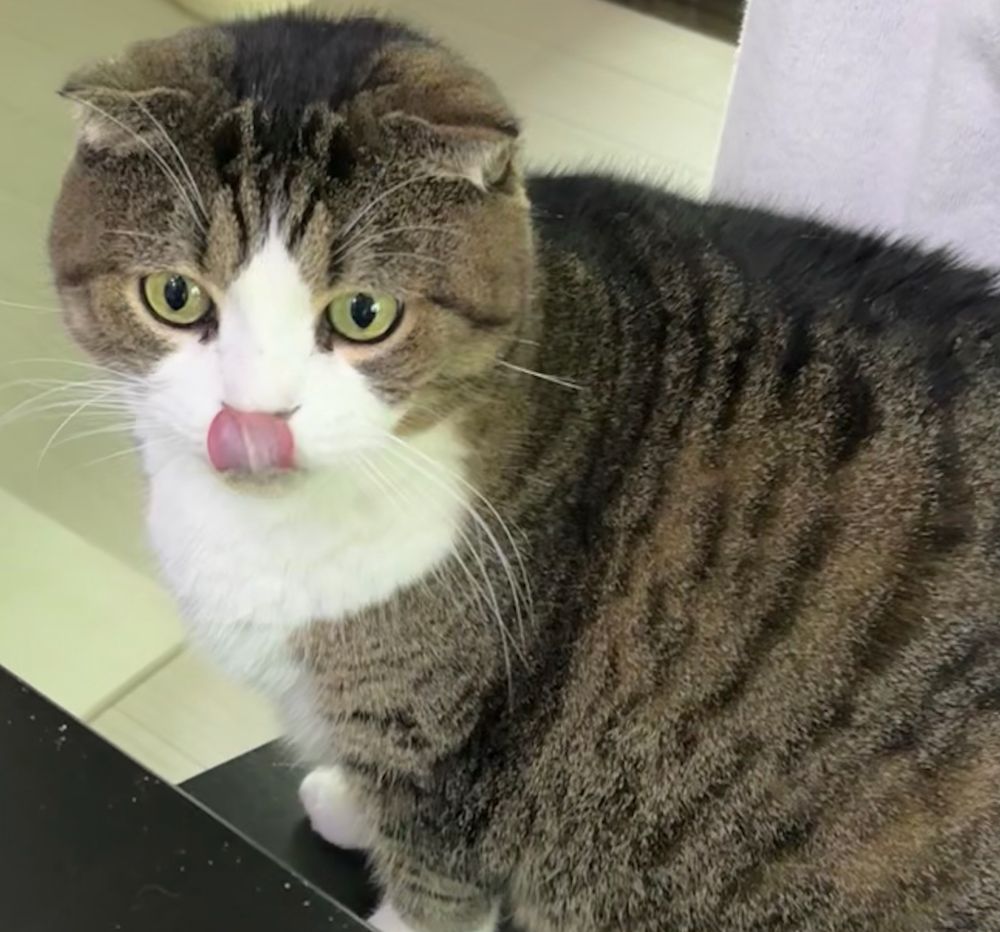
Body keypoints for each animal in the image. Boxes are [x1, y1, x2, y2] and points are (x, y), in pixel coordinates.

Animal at [48, 12, 1000, 932]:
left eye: (365, 314)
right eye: (175, 297)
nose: (254, 420)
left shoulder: (454, 758)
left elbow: (433, 888)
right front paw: (347, 803)